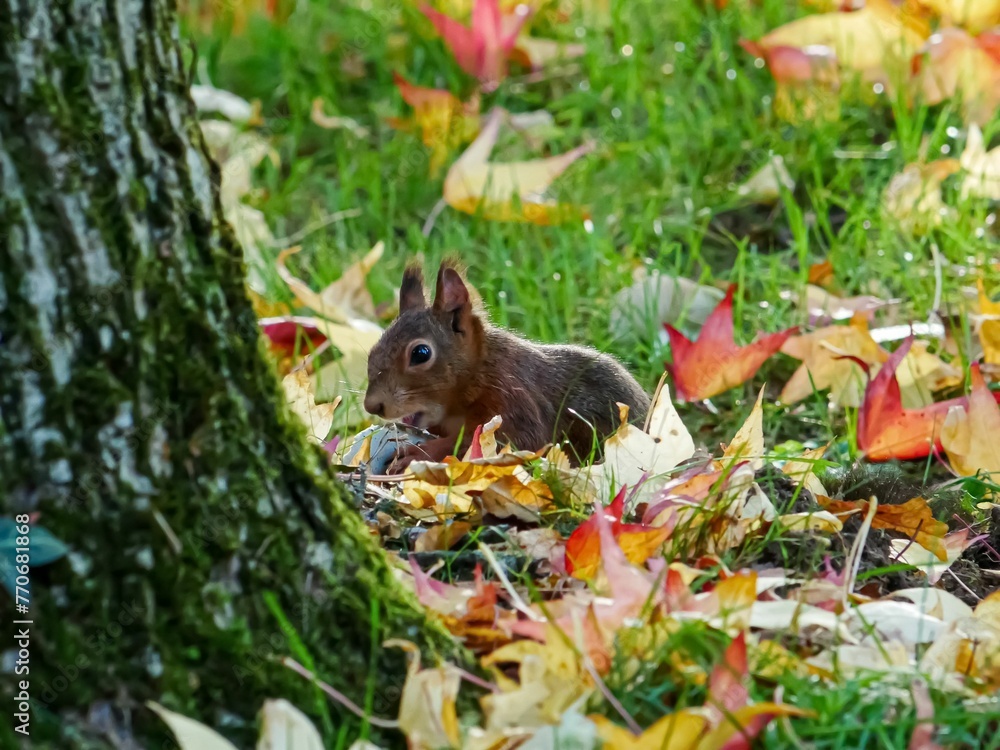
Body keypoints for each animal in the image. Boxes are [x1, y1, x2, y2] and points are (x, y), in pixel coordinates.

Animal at [363, 260, 651, 472]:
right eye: (372, 351)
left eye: (421, 353)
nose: (372, 405)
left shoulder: (512, 398)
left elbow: (510, 443)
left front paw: (418, 453)